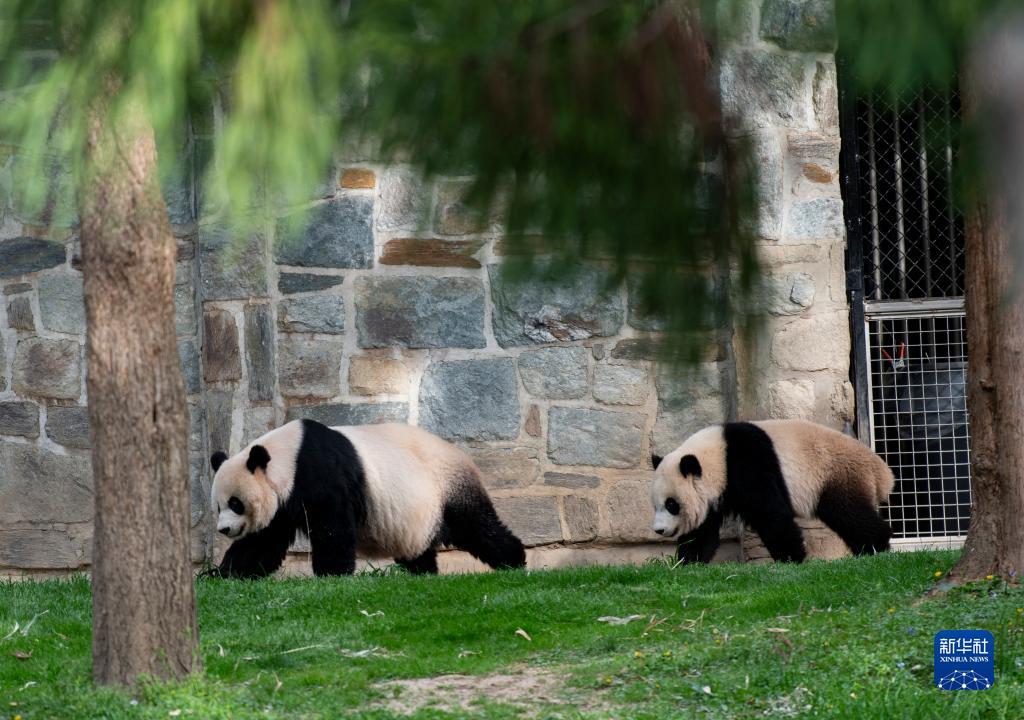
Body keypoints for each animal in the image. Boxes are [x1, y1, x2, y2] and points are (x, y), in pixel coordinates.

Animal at [208, 417, 528, 581]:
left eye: (235, 503)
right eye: (218, 506)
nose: (223, 529)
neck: (287, 456)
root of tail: (464, 455)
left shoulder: (320, 474)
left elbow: (332, 528)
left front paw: (332, 575)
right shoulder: (283, 504)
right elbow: (262, 542)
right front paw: (219, 575)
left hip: (446, 487)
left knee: (476, 526)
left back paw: (515, 560)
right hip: (415, 511)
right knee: (418, 547)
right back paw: (423, 573)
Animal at [651, 419, 892, 565]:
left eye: (671, 504)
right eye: (656, 505)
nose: (659, 530)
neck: (719, 456)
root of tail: (882, 471)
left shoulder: (749, 464)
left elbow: (770, 514)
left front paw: (792, 558)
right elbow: (702, 530)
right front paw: (686, 562)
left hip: (838, 474)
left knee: (850, 514)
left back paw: (876, 546)